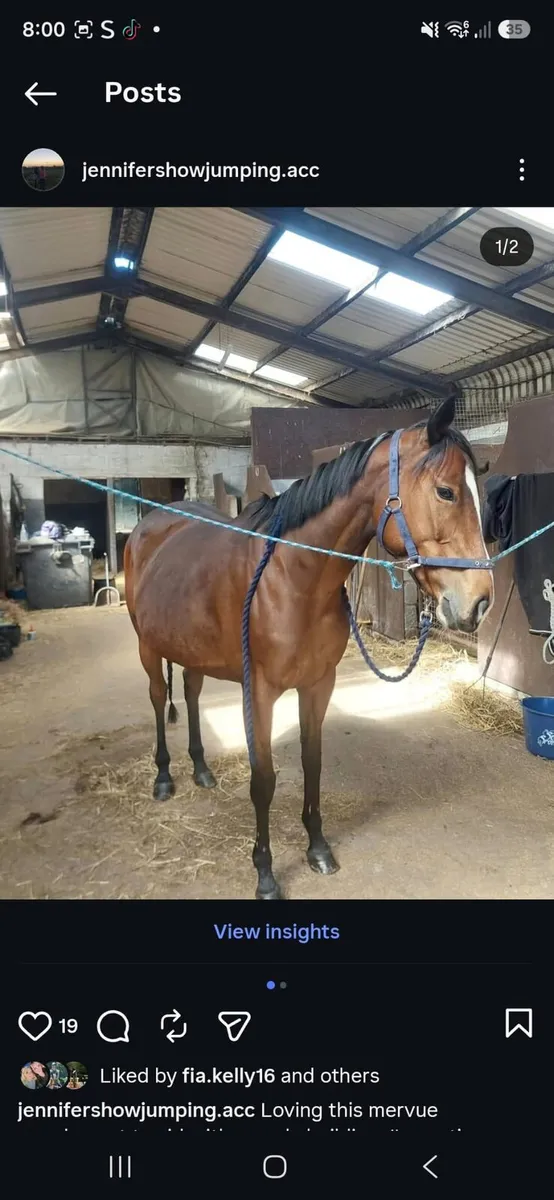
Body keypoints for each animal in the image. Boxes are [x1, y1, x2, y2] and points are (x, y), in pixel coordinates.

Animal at [124, 395, 493, 900]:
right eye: (446, 492)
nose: (479, 602)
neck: (293, 577)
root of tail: (153, 523)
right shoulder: (258, 692)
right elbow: (263, 780)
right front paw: (265, 874)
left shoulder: (319, 684)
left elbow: (312, 763)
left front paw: (318, 849)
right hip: (147, 647)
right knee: (159, 699)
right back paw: (164, 778)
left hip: (190, 649)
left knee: (192, 693)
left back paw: (201, 769)